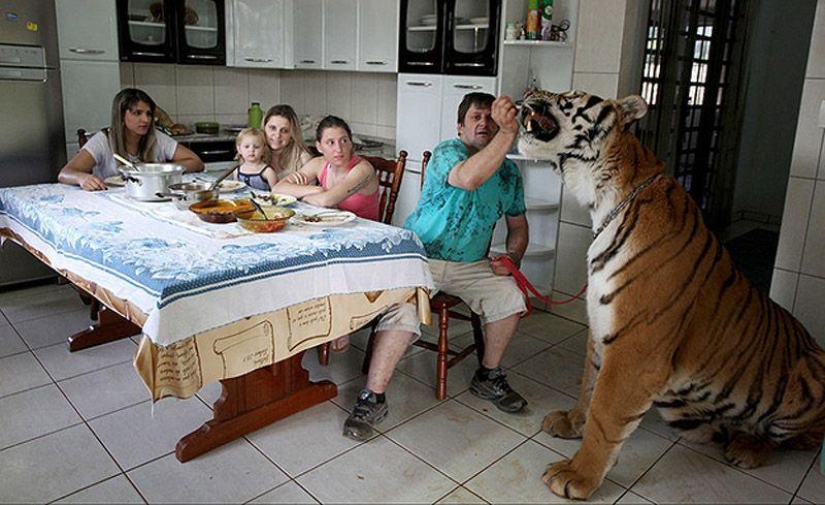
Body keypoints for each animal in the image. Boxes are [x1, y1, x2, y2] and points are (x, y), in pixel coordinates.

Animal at [517, 90, 825, 500]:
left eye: (570, 96)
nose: (527, 92)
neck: (603, 197)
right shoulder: (601, 327)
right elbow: (589, 386)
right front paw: (571, 422)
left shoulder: (635, 350)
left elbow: (605, 414)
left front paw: (577, 475)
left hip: (808, 376)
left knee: (796, 437)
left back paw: (748, 447)